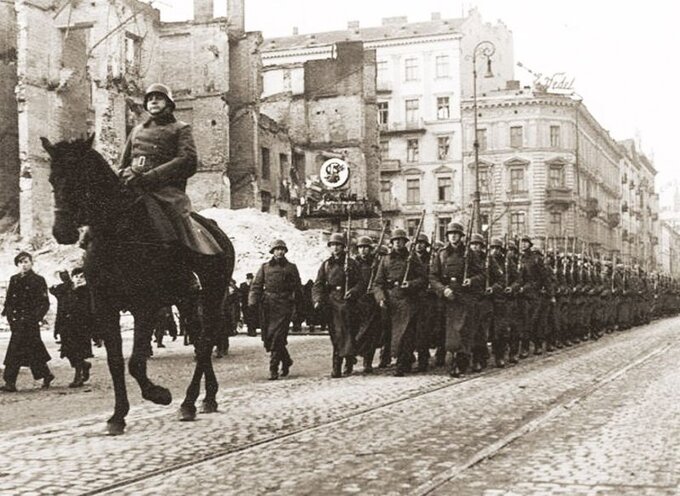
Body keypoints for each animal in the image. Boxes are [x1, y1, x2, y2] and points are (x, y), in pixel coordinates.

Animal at [42, 136, 235, 434]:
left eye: (81, 177)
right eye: (53, 179)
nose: (61, 231)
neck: (117, 233)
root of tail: (217, 231)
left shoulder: (146, 306)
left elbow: (135, 362)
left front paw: (159, 394)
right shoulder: (105, 308)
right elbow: (115, 362)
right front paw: (117, 416)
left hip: (213, 296)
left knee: (205, 342)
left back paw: (188, 402)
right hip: (187, 301)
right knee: (199, 339)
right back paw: (207, 397)